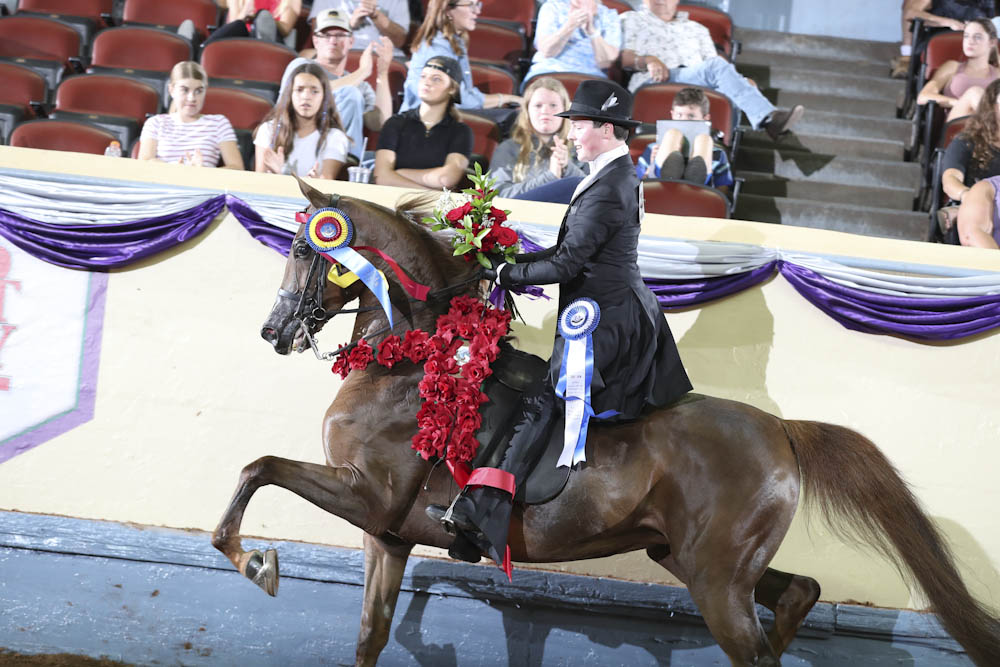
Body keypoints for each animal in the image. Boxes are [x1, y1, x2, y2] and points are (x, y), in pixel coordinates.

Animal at [212, 178, 1000, 666]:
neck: (412, 359)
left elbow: (257, 466)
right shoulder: (388, 532)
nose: (273, 333)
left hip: (716, 579)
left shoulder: (368, 492)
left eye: (307, 247)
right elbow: (370, 636)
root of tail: (780, 430)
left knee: (758, 642)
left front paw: (255, 561)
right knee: (799, 592)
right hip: (689, 557)